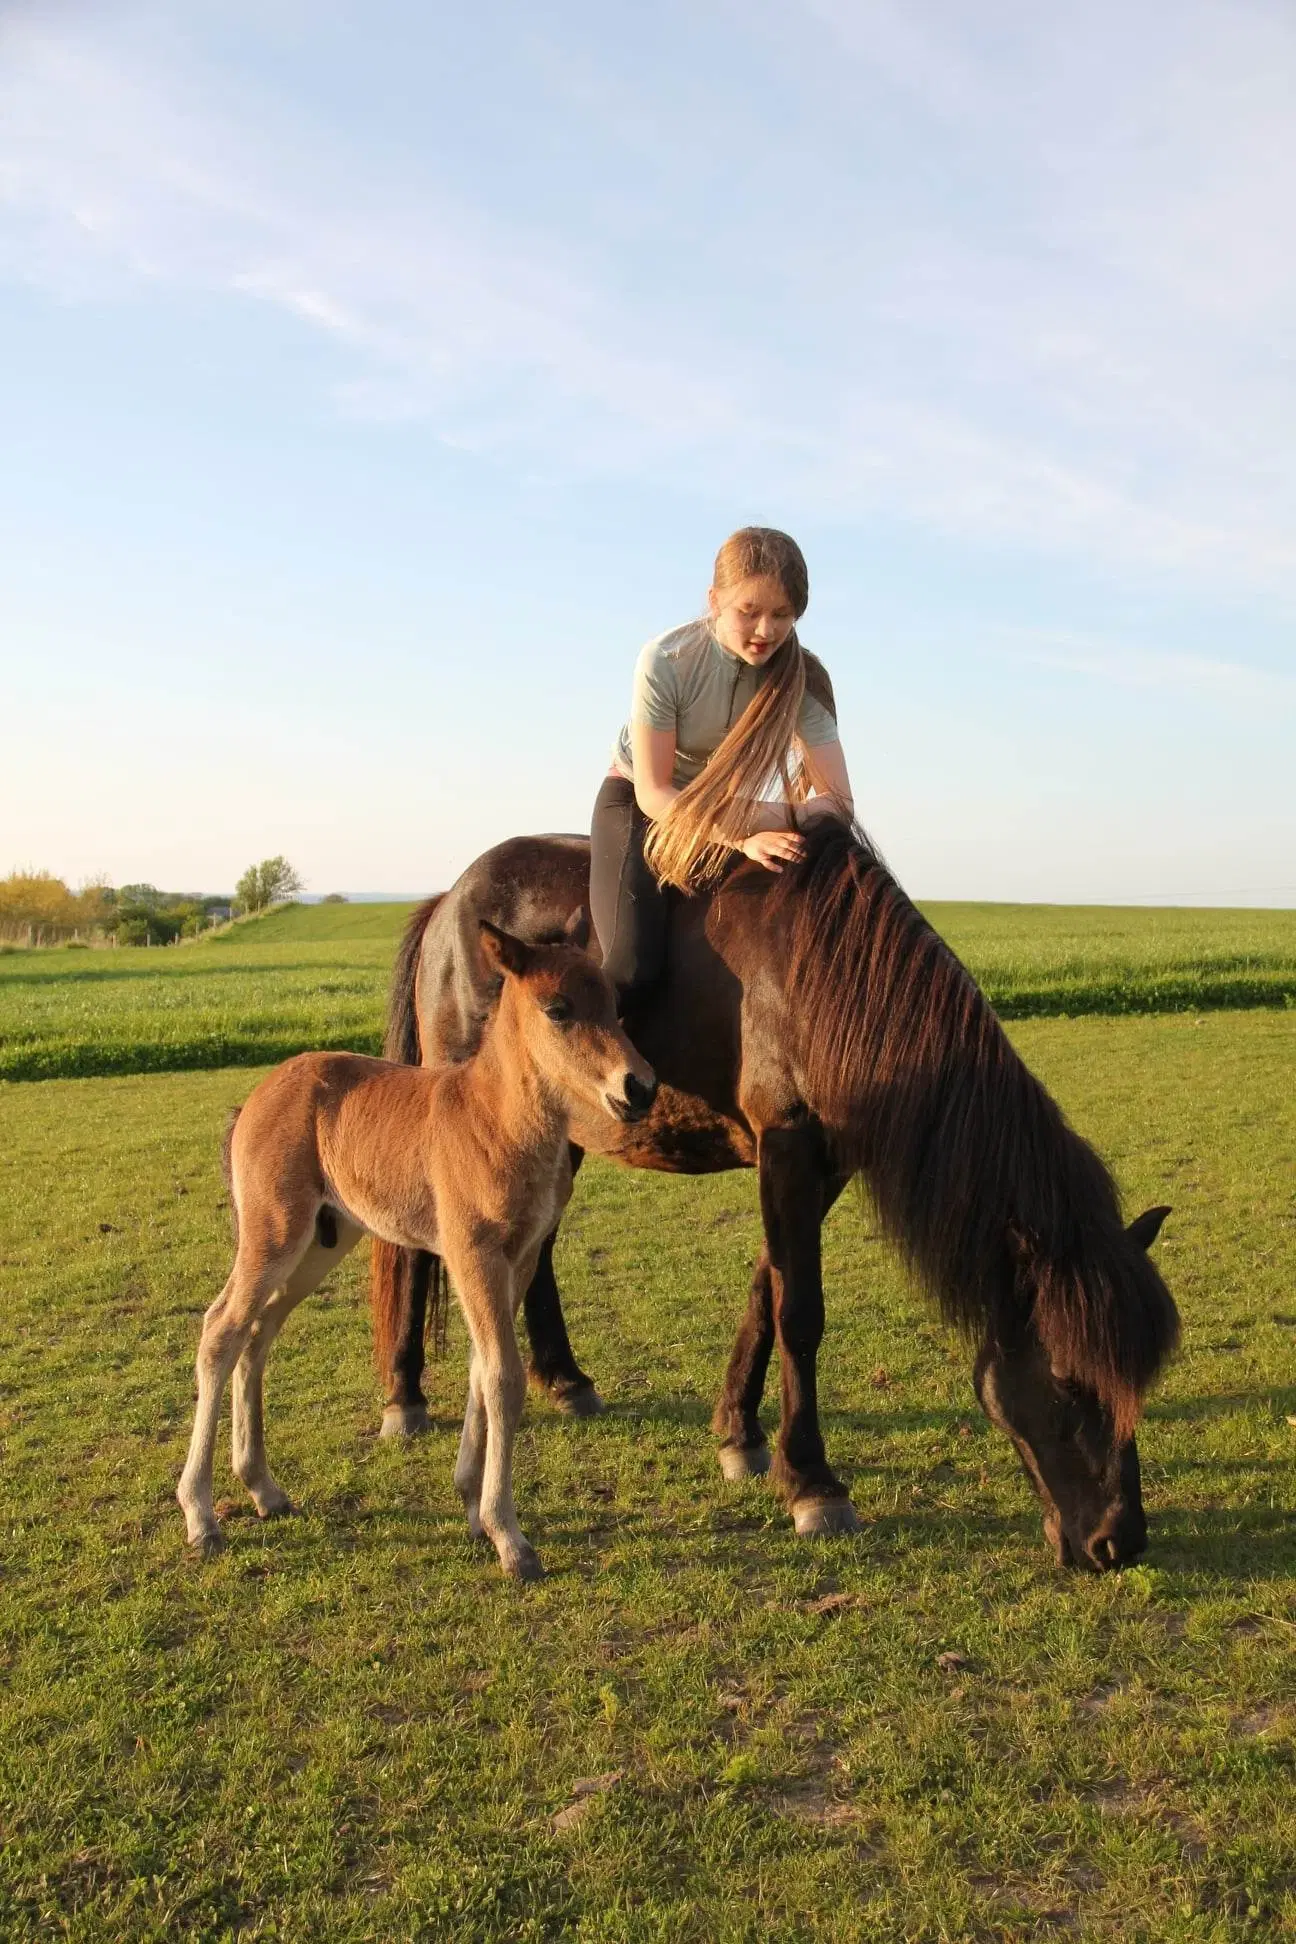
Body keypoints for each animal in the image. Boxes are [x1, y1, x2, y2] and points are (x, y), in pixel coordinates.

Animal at [175, 913, 652, 1578]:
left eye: (614, 1005)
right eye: (558, 1009)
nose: (640, 1088)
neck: (496, 1119)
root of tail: (256, 1098)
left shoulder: (521, 1256)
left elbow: (483, 1369)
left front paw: (473, 1506)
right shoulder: (473, 1251)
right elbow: (503, 1376)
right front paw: (510, 1537)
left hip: (321, 1242)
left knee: (258, 1331)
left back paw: (264, 1489)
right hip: (274, 1232)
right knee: (222, 1329)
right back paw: (201, 1516)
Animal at [369, 816, 1181, 1562]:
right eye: (1070, 1383)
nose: (1121, 1541)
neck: (826, 979)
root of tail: (450, 902)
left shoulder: (821, 1163)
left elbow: (769, 1290)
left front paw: (740, 1434)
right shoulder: (787, 1148)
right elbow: (801, 1314)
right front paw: (814, 1484)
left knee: (538, 1251)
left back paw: (564, 1379)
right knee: (421, 1241)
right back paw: (405, 1394)